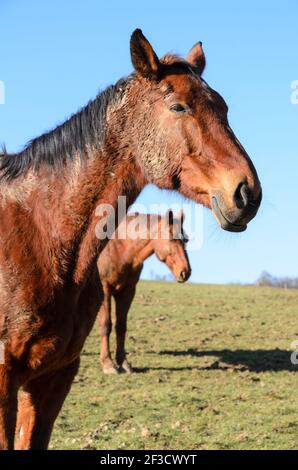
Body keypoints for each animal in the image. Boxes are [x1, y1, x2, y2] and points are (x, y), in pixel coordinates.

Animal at [98, 210, 191, 374]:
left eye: (185, 239)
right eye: (172, 238)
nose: (185, 272)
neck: (118, 247)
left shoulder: (127, 292)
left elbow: (121, 327)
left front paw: (123, 363)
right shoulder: (105, 290)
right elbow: (106, 325)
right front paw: (108, 364)